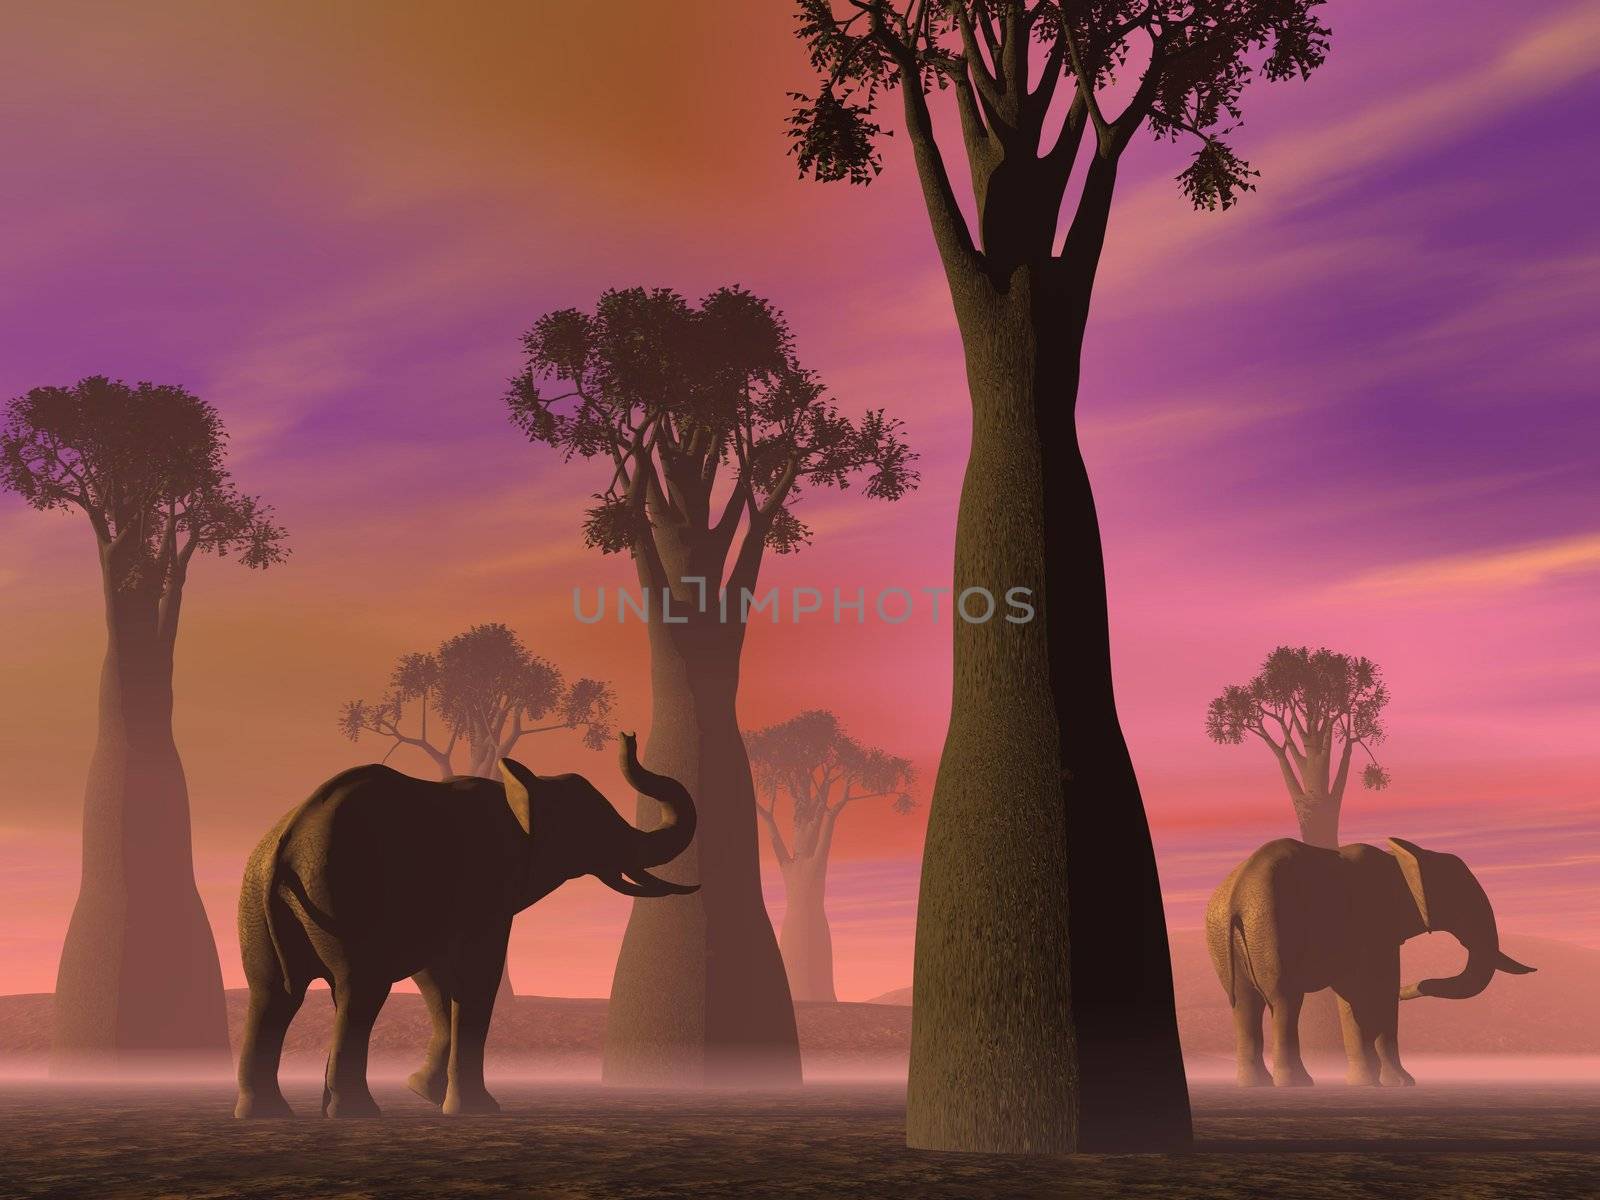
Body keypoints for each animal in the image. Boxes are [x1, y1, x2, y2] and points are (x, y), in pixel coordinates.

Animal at [233, 732, 697, 1120]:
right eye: (592, 822)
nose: (627, 737)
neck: (522, 788)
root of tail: (288, 844)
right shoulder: (485, 887)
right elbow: (476, 975)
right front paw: (475, 1109)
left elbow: (438, 982)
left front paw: (423, 1092)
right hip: (339, 898)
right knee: (357, 990)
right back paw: (355, 1114)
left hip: (256, 901)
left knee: (272, 996)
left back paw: (267, 1114)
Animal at [1203, 844, 1529, 1088]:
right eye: (1459, 897)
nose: (1410, 988)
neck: (1403, 858)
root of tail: (1236, 896)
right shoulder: (1376, 922)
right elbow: (1377, 988)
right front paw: (1401, 1083)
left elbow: (1351, 996)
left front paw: (1365, 1083)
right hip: (1272, 927)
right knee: (1284, 1000)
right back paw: (1297, 1083)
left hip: (1224, 934)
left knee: (1244, 1004)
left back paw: (1254, 1084)